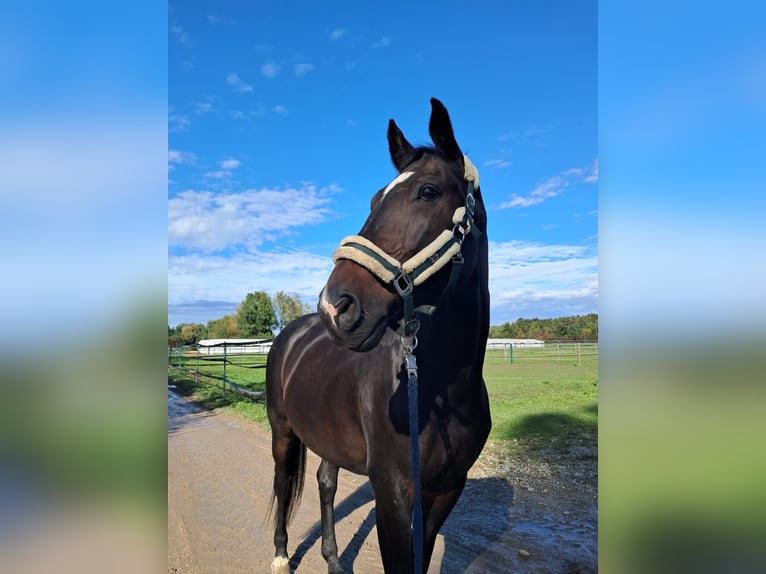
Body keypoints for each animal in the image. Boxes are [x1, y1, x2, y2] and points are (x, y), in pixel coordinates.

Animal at [266, 99, 492, 574]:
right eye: (374, 200)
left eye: (427, 191)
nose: (334, 305)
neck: (442, 392)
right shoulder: (391, 495)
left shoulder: (445, 493)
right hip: (282, 431)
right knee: (281, 481)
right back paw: (279, 554)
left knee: (325, 482)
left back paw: (333, 560)